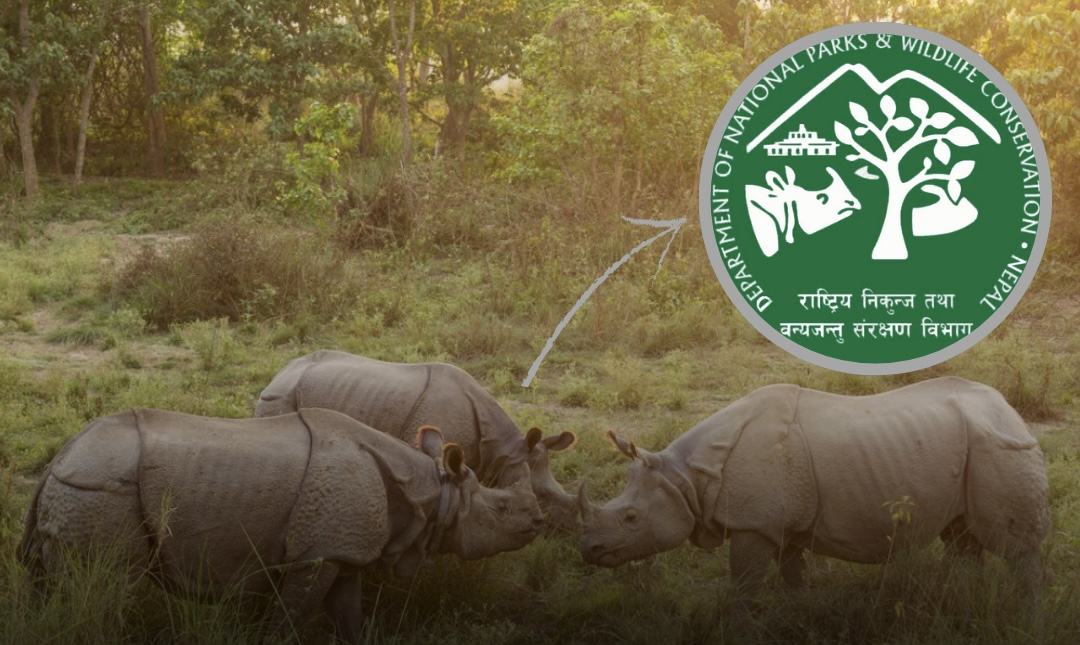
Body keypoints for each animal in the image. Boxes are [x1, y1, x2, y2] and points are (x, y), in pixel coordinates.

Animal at [18, 408, 543, 643]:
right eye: (499, 509)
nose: (538, 522)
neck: (431, 490)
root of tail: (59, 460)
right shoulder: (314, 558)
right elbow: (288, 621)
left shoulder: (341, 553)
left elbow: (349, 619)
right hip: (98, 490)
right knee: (105, 585)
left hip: (77, 488)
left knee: (54, 587)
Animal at [578, 377, 1049, 607]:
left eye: (631, 518)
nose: (589, 551)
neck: (686, 478)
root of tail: (1009, 408)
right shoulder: (781, 525)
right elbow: (794, 578)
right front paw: (802, 615)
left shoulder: (755, 525)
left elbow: (743, 585)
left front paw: (736, 622)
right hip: (969, 447)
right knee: (961, 537)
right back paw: (961, 603)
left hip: (999, 446)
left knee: (1014, 547)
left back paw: (1029, 615)